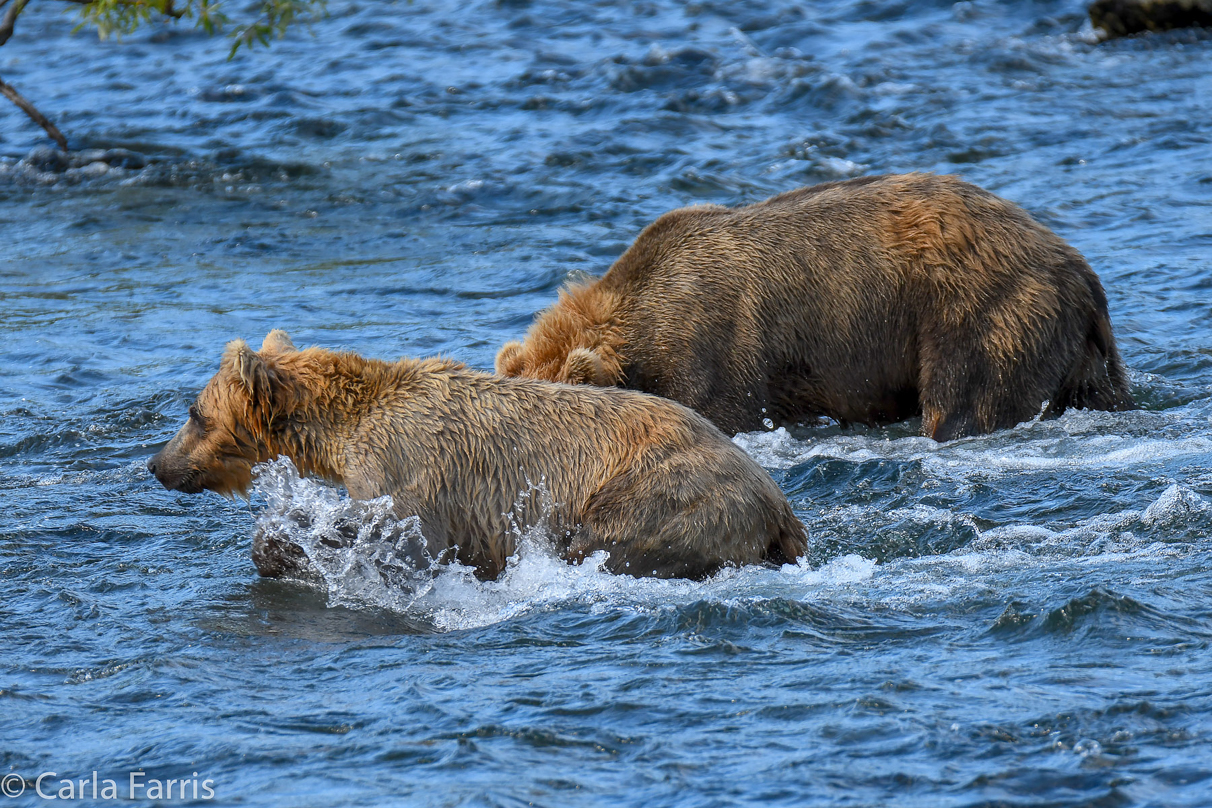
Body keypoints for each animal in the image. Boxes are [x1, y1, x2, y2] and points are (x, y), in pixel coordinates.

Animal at [146, 329, 804, 581]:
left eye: (194, 412)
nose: (156, 464)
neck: (340, 434)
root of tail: (779, 502)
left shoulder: (411, 470)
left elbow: (401, 535)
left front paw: (286, 544)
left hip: (662, 490)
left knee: (604, 538)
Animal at [494, 172, 1134, 443]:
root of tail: (1075, 264)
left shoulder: (718, 351)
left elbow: (729, 407)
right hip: (1075, 346)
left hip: (976, 310)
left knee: (964, 401)